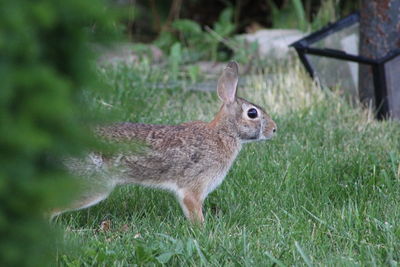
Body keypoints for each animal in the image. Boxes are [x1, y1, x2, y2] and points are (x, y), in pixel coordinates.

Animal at [53, 61, 276, 224]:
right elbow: (194, 209)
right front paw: (202, 230)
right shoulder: (194, 187)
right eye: (252, 113)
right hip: (92, 185)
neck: (223, 133)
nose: (274, 129)